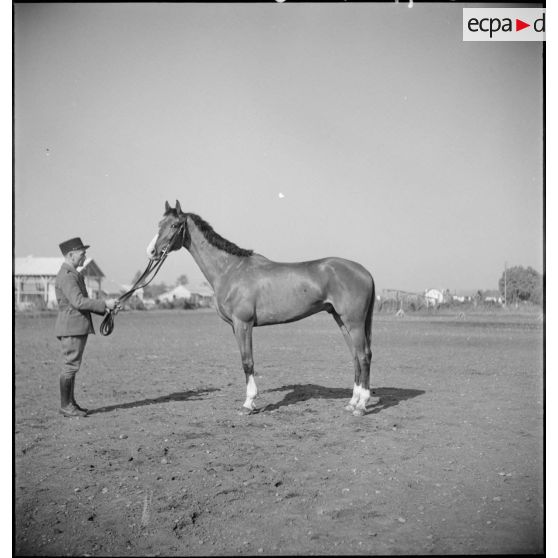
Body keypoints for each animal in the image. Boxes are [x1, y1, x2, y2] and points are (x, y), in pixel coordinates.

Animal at [147, 201, 378, 416]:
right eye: (159, 224)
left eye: (174, 225)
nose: (152, 251)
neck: (230, 269)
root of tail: (364, 272)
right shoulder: (235, 326)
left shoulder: (243, 324)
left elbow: (247, 362)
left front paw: (248, 404)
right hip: (341, 320)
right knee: (356, 357)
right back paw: (352, 403)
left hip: (354, 323)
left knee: (364, 356)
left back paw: (361, 406)